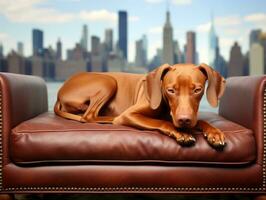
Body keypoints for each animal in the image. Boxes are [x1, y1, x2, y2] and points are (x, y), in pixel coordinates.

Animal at [55, 63, 225, 148]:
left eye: (197, 90)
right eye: (170, 90)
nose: (184, 120)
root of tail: (61, 90)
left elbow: (200, 121)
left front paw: (214, 133)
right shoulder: (130, 115)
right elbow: (163, 122)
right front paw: (181, 133)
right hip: (108, 81)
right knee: (89, 116)